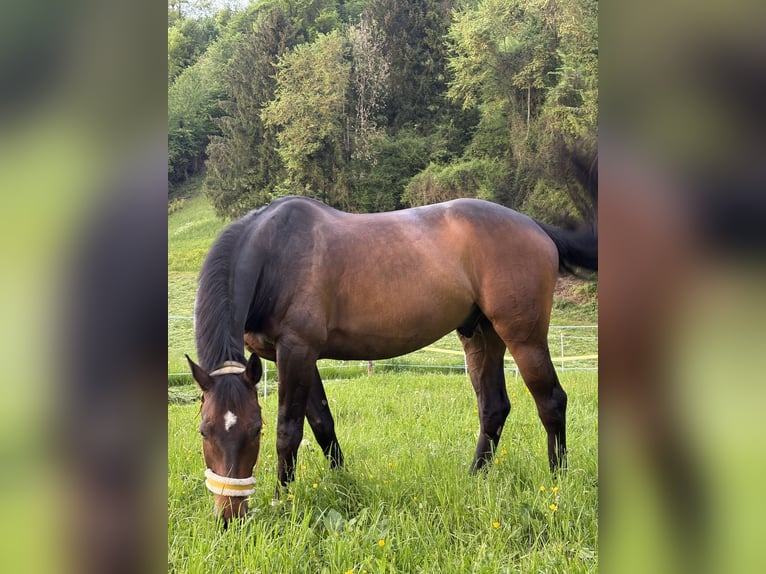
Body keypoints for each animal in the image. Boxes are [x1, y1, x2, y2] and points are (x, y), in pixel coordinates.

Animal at [187, 196, 597, 522]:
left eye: (255, 429)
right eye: (204, 430)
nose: (229, 517)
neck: (274, 253)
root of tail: (534, 225)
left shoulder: (296, 350)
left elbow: (289, 431)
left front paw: (281, 502)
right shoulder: (298, 356)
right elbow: (322, 424)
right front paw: (343, 482)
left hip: (523, 336)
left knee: (551, 401)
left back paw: (557, 482)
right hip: (481, 336)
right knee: (494, 407)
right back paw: (475, 478)